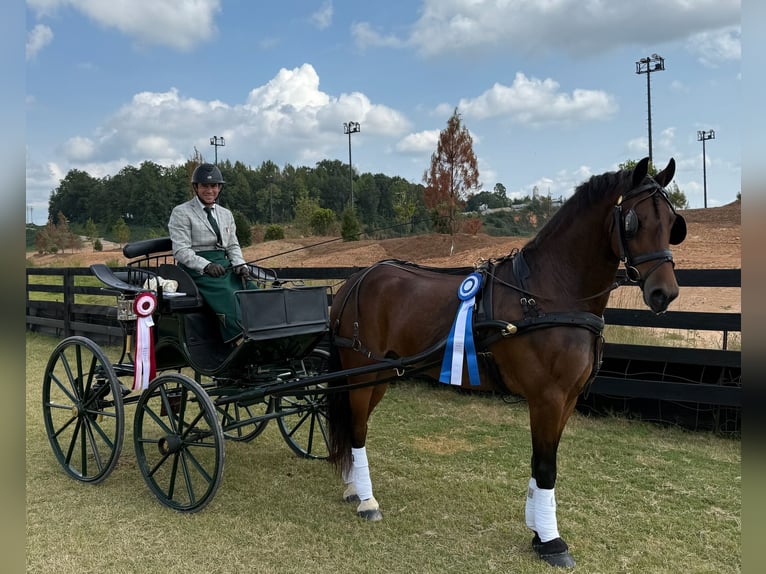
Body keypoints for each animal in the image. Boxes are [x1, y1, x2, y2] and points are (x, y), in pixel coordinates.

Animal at [325, 157, 686, 568]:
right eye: (633, 222)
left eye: (672, 223)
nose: (664, 293)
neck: (548, 293)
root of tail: (355, 279)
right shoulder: (547, 397)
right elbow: (546, 466)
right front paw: (552, 542)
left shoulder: (567, 400)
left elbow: (540, 463)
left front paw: (538, 531)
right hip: (361, 370)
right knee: (357, 429)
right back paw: (367, 500)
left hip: (380, 373)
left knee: (357, 423)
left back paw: (354, 488)